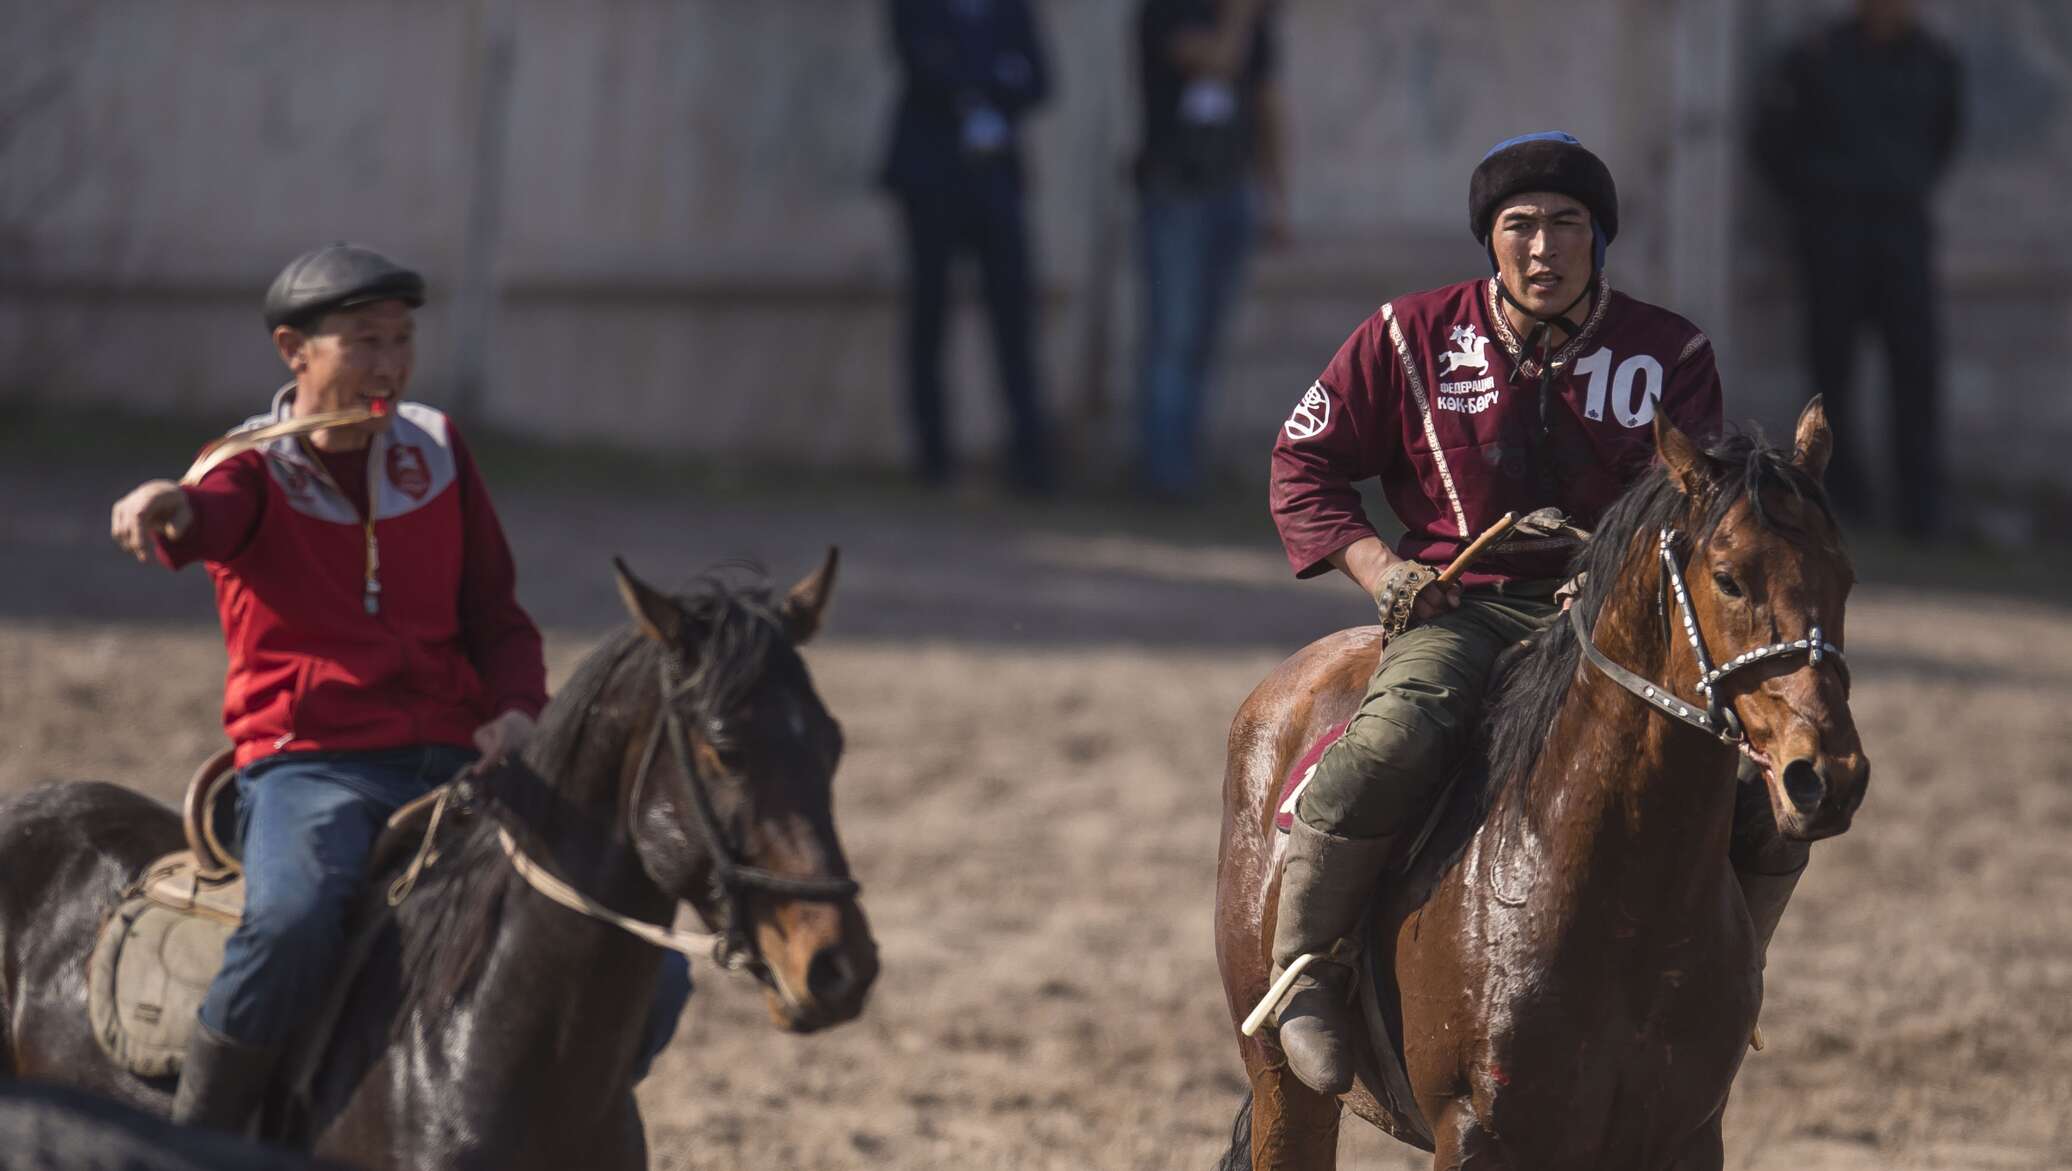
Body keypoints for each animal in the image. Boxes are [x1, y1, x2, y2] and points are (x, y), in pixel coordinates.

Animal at [1210, 404, 1873, 1168]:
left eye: (1844, 576)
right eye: (1730, 578)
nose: (1827, 774)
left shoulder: (1687, 1134)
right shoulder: (1477, 1132)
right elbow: (1311, 462)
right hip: (1285, 1085)